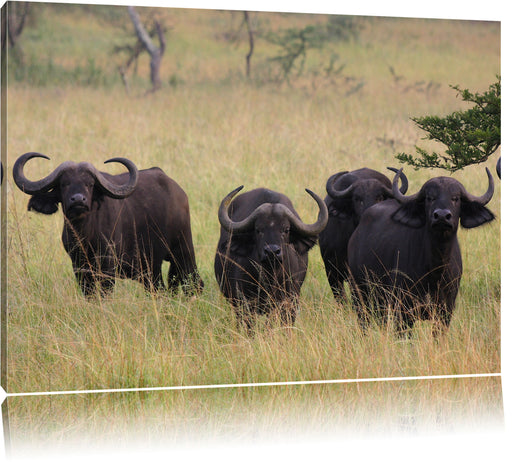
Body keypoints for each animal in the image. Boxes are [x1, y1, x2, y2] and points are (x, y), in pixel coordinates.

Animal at [13, 152, 204, 296]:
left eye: (90, 184)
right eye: (64, 184)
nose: (78, 200)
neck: (85, 235)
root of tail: (179, 193)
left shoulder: (108, 266)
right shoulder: (79, 268)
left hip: (183, 251)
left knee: (195, 283)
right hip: (151, 267)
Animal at [215, 186, 328, 330]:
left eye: (286, 229)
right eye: (258, 230)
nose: (272, 251)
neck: (270, 275)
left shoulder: (289, 301)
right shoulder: (245, 302)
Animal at [346, 168, 494, 334]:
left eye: (456, 198)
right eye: (430, 198)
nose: (442, 216)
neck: (435, 270)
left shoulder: (445, 313)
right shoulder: (403, 311)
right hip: (359, 293)